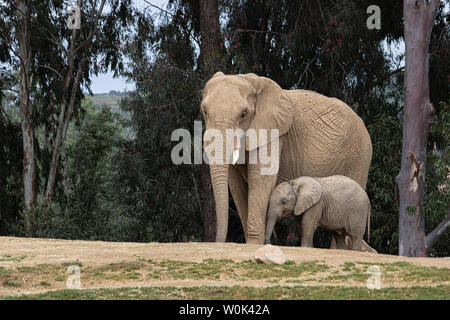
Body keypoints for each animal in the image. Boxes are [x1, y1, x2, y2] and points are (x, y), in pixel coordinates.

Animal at [202, 71, 370, 244]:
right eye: (205, 111)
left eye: (243, 114)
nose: (219, 242)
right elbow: (236, 186)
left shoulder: (274, 132)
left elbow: (260, 177)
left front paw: (253, 244)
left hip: (359, 157)